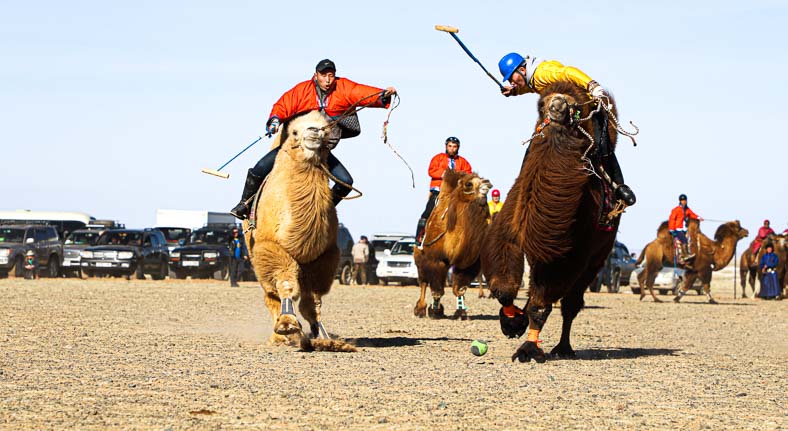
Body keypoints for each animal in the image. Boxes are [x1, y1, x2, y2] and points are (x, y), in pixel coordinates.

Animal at [243, 111, 354, 354]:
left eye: (325, 129)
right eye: (294, 131)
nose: (313, 132)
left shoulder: (323, 257)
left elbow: (312, 300)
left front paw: (323, 338)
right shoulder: (271, 248)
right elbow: (286, 285)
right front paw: (287, 325)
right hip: (256, 256)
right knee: (271, 296)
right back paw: (280, 335)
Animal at [412, 171, 492, 320]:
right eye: (469, 184)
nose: (488, 184)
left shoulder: (465, 264)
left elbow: (460, 289)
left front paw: (461, 313)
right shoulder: (436, 260)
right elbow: (437, 290)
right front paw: (435, 311)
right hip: (420, 258)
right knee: (424, 282)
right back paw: (419, 309)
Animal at [480, 81, 620, 364]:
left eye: (576, 109)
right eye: (540, 104)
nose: (558, 106)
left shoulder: (567, 254)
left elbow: (541, 303)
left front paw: (528, 349)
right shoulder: (508, 231)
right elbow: (503, 289)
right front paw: (511, 322)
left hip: (597, 256)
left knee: (571, 303)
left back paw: (563, 347)